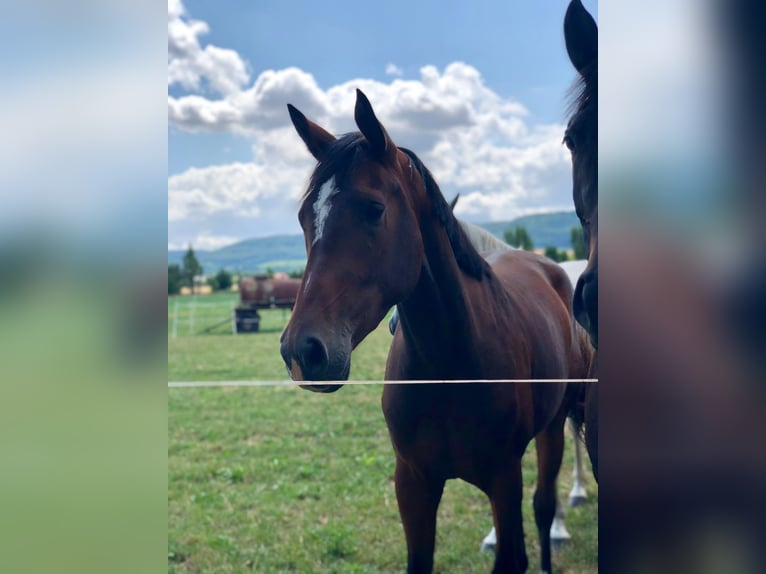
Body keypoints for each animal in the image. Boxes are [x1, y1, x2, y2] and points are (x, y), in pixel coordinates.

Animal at [279, 89, 592, 573]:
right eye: (303, 218)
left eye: (373, 209)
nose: (303, 350)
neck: (449, 367)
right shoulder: (413, 482)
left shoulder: (504, 478)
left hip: (554, 425)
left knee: (544, 506)